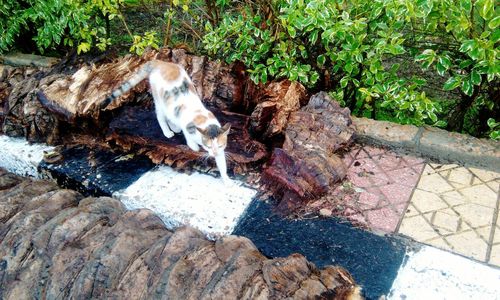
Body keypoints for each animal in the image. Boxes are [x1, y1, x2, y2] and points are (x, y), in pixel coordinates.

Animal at [103, 59, 234, 184]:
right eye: (208, 146)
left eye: (220, 145)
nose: (214, 153)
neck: (204, 120)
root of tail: (160, 63)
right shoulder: (186, 124)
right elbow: (188, 136)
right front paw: (194, 146)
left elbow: (222, 164)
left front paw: (226, 179)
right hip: (159, 100)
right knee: (161, 116)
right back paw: (168, 132)